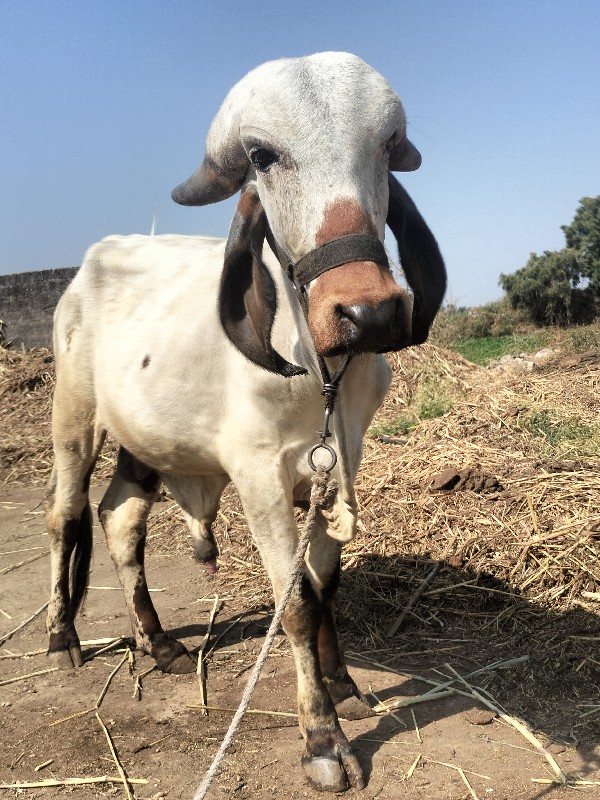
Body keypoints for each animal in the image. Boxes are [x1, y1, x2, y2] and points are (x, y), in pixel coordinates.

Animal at [45, 51, 446, 792]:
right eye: (262, 155)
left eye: (384, 146)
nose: (369, 312)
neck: (323, 372)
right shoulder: (259, 475)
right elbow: (295, 603)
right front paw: (323, 740)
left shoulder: (337, 464)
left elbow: (324, 586)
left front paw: (344, 684)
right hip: (74, 417)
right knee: (67, 515)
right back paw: (62, 638)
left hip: (145, 443)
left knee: (120, 520)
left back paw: (159, 642)